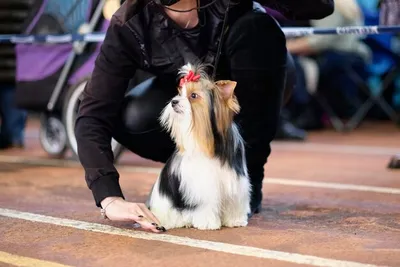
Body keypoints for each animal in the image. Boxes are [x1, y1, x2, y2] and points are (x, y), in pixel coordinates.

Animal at [145, 63, 250, 230]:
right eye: (179, 93)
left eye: (193, 96)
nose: (174, 102)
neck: (211, 145)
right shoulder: (202, 185)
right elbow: (206, 205)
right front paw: (208, 223)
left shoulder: (234, 181)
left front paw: (236, 220)